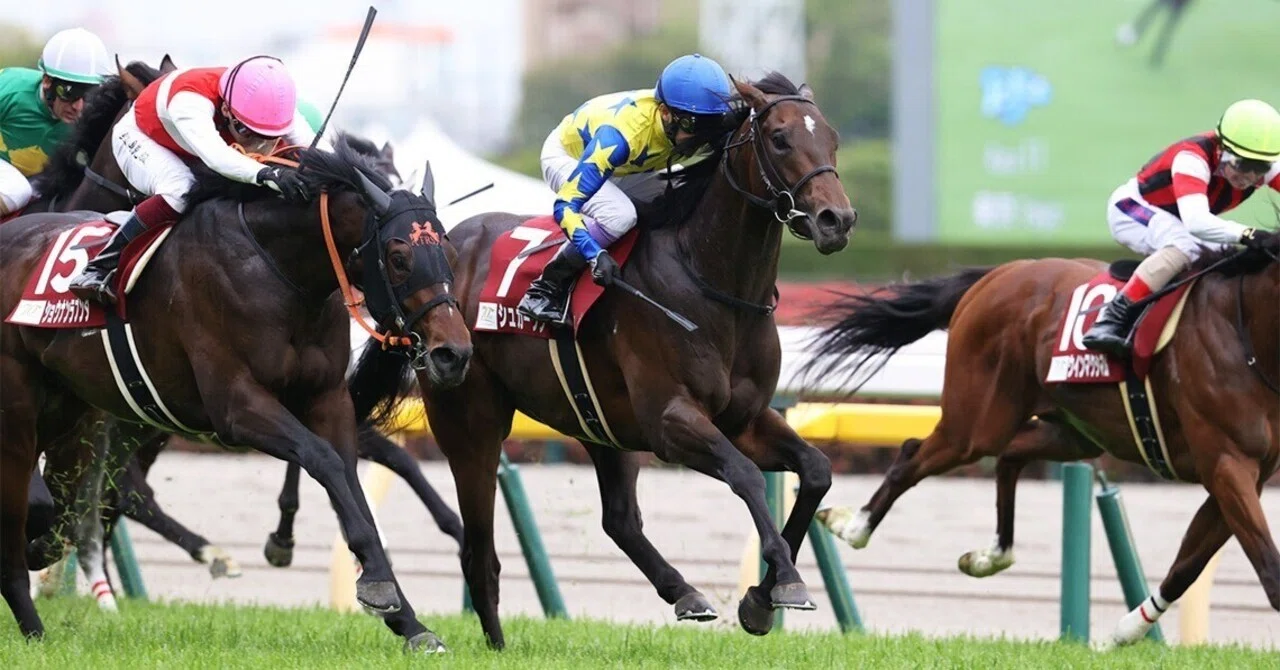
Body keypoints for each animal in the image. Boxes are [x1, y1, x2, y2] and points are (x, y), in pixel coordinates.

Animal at [0, 139, 471, 651]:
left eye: (448, 249)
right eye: (399, 255)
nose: (454, 354)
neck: (279, 268)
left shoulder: (328, 399)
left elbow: (352, 485)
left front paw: (408, 620)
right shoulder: (237, 405)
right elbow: (323, 461)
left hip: (72, 408)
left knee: (81, 502)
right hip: (29, 407)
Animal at [349, 71, 858, 649]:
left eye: (833, 138)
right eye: (779, 138)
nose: (837, 219)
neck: (713, 285)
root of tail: (441, 255)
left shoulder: (744, 419)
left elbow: (815, 470)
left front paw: (760, 600)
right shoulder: (671, 421)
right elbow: (747, 476)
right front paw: (786, 583)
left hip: (600, 422)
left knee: (619, 520)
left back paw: (685, 592)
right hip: (471, 420)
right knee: (480, 550)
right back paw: (494, 643)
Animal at [807, 241, 1279, 648]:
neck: (1244, 332)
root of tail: (1000, 272)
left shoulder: (1243, 474)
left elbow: (1188, 565)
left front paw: (1124, 633)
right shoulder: (1226, 463)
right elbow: (1269, 570)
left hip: (1073, 431)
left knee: (1009, 455)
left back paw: (990, 555)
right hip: (976, 424)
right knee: (913, 454)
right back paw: (853, 527)